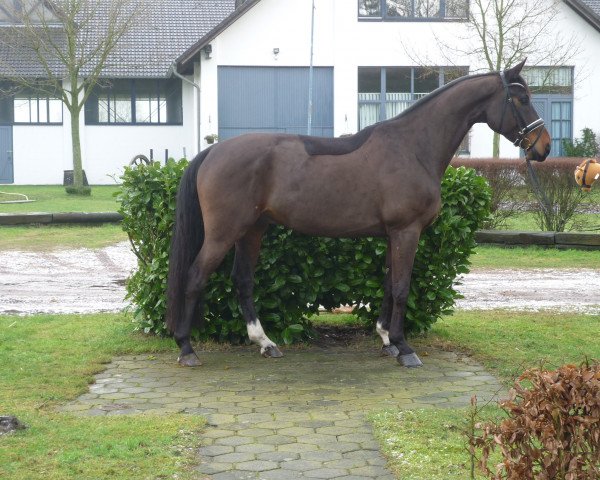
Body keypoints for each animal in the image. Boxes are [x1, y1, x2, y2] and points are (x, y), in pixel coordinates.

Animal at [166, 60, 552, 368]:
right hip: (224, 232)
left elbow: (389, 283)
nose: (544, 147)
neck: (412, 147)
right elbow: (401, 287)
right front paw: (404, 347)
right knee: (195, 276)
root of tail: (212, 152)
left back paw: (265, 343)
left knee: (242, 280)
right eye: (521, 98)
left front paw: (385, 339)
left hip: (252, 230)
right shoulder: (407, 231)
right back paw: (186, 348)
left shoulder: (393, 234)